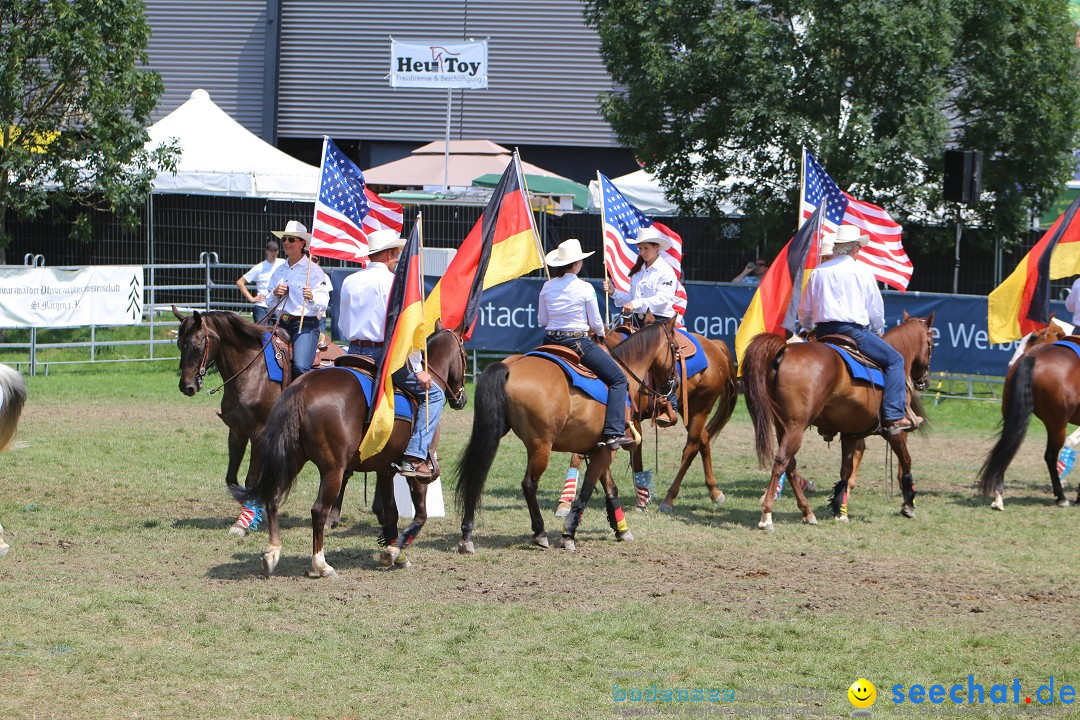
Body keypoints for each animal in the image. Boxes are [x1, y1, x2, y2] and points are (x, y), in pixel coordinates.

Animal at [232, 325, 468, 578]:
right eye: (464, 354)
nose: (462, 399)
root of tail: (302, 388)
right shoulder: (417, 472)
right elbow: (421, 515)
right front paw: (395, 550)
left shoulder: (385, 471)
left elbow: (391, 513)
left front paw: (395, 555)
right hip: (333, 469)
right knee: (318, 510)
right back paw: (321, 565)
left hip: (292, 459)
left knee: (274, 498)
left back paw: (272, 553)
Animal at [453, 323, 673, 557]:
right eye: (676, 348)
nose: (672, 384)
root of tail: (510, 367)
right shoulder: (607, 450)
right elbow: (586, 490)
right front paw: (568, 534)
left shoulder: (600, 449)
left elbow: (610, 488)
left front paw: (621, 529)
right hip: (541, 445)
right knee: (529, 484)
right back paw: (539, 533)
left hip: (492, 433)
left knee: (476, 475)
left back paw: (466, 536)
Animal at [738, 313, 933, 528]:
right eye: (931, 343)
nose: (925, 381)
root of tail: (785, 349)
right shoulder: (894, 431)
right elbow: (906, 460)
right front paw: (909, 503)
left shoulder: (851, 432)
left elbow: (845, 470)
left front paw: (839, 508)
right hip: (796, 426)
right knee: (782, 460)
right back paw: (767, 515)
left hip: (782, 425)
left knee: (790, 464)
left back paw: (807, 512)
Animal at [976, 338, 1080, 511]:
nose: (1010, 362)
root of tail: (1033, 356)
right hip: (1057, 425)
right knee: (1050, 456)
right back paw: (1061, 497)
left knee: (1005, 448)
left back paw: (998, 497)